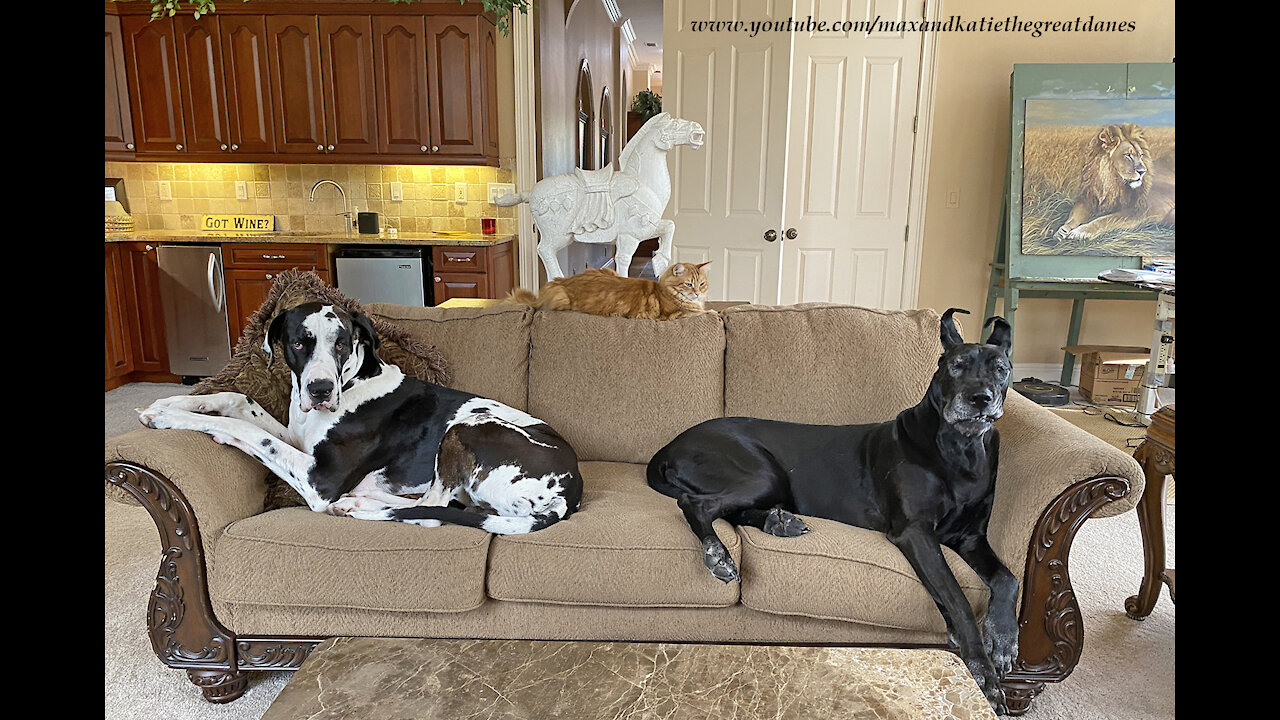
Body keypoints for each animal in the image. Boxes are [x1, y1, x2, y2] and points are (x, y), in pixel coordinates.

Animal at [506, 258, 711, 317]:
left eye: (701, 284)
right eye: (689, 284)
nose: (697, 293)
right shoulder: (679, 314)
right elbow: (709, 312)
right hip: (561, 299)